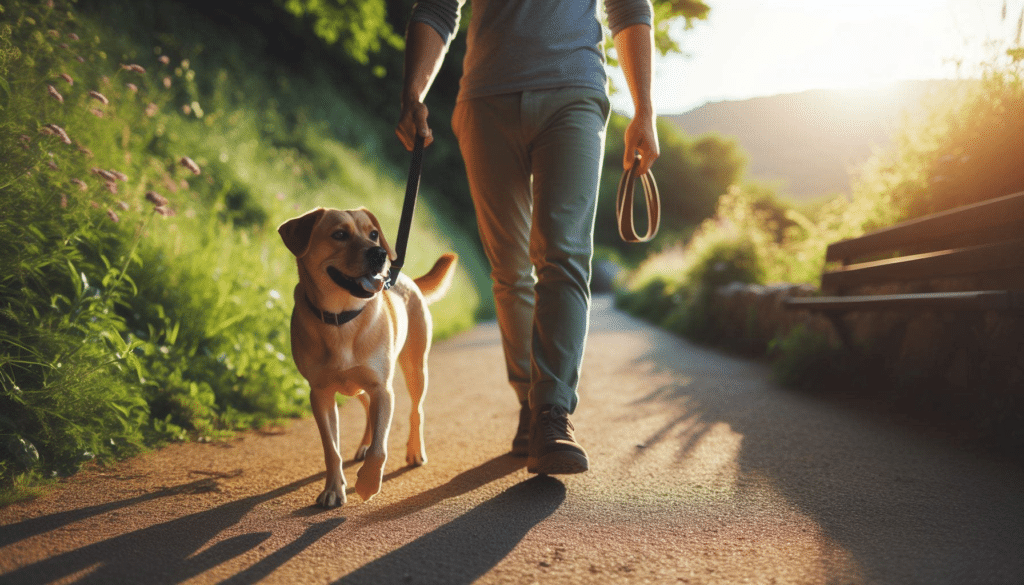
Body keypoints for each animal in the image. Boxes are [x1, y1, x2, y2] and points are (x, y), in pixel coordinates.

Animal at [280, 206, 456, 508]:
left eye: (373, 234)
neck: (342, 319)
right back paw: (364, 444)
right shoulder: (320, 394)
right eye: (339, 234)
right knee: (368, 413)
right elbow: (332, 449)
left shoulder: (382, 389)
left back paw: (414, 451)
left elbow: (380, 449)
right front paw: (333, 489)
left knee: (416, 411)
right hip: (356, 386)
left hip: (415, 369)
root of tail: (403, 277)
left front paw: (367, 484)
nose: (380, 254)